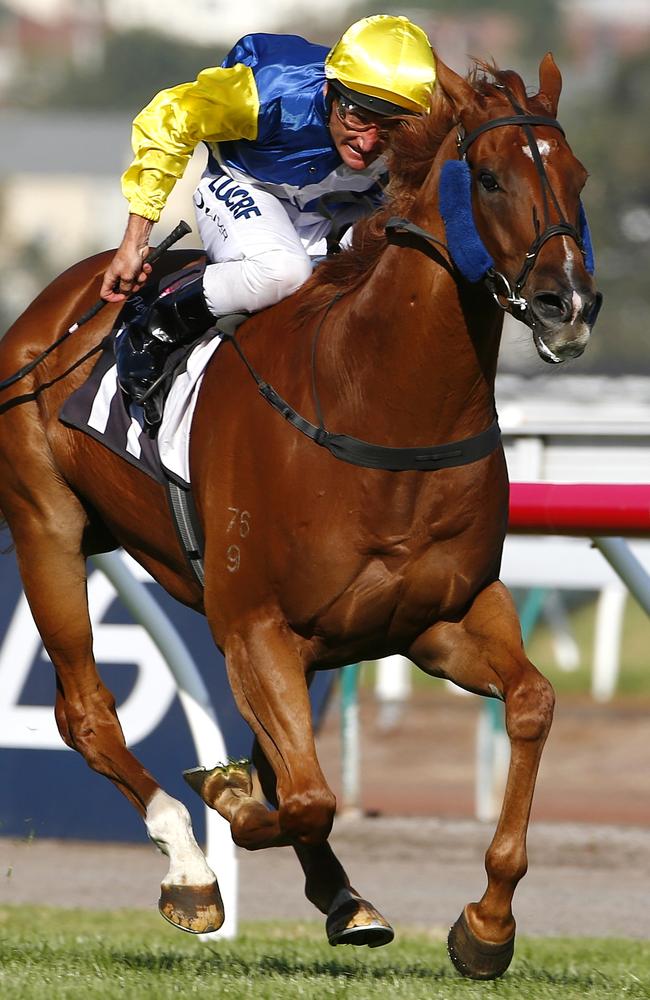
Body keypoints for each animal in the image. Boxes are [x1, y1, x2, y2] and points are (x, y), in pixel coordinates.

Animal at [0, 54, 596, 976]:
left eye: (579, 177)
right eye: (492, 178)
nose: (569, 303)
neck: (377, 401)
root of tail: (53, 308)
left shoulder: (441, 615)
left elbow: (532, 703)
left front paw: (488, 923)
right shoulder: (253, 623)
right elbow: (303, 794)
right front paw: (228, 803)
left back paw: (340, 894)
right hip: (47, 528)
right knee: (86, 713)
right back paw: (189, 867)